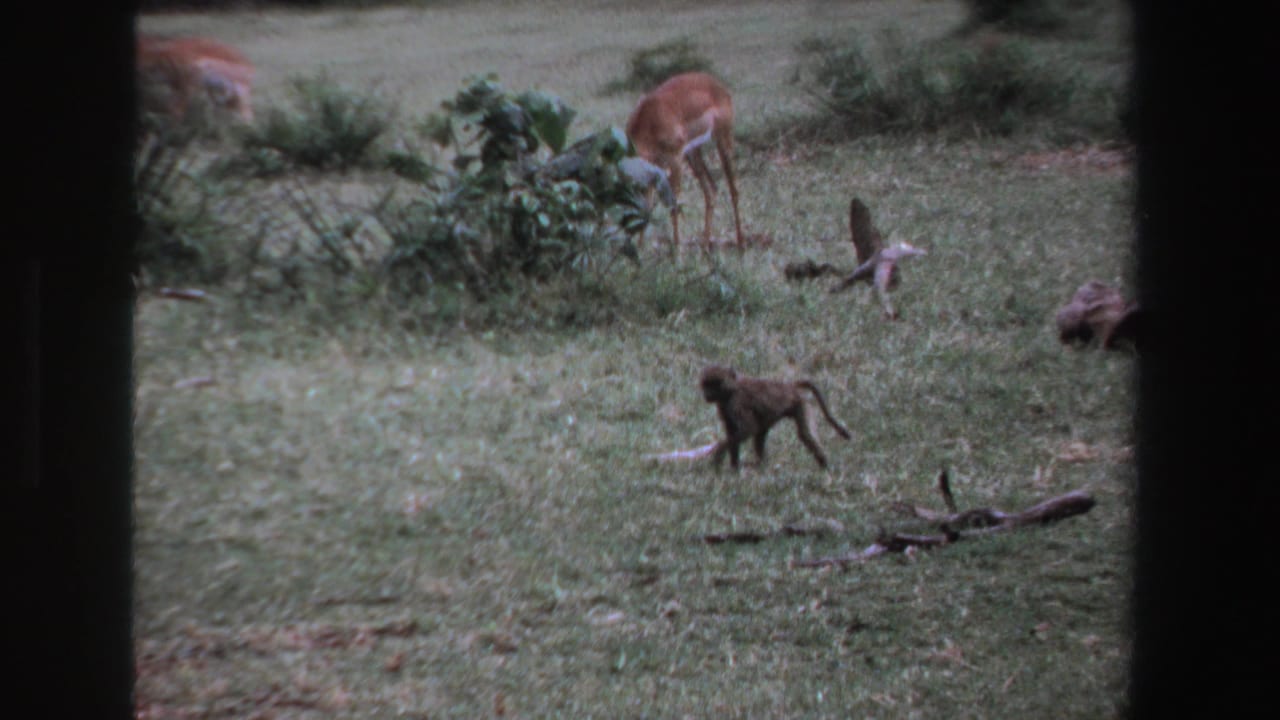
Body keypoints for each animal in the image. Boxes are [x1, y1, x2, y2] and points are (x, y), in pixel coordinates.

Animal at [625, 72, 744, 257]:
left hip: (722, 142)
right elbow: (648, 207)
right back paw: (704, 247)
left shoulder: (675, 161)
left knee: (733, 190)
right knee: (711, 190)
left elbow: (673, 205)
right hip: (694, 153)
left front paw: (677, 251)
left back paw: (740, 244)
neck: (650, 121)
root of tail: (717, 85)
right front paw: (640, 248)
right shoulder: (654, 167)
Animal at [699, 365, 851, 471]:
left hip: (798, 403)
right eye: (706, 384)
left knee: (804, 434)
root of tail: (789, 386)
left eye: (715, 383)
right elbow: (734, 432)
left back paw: (825, 465)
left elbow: (748, 429)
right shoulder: (724, 407)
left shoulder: (737, 403)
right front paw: (733, 469)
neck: (731, 390)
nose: (707, 394)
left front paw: (718, 453)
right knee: (763, 435)